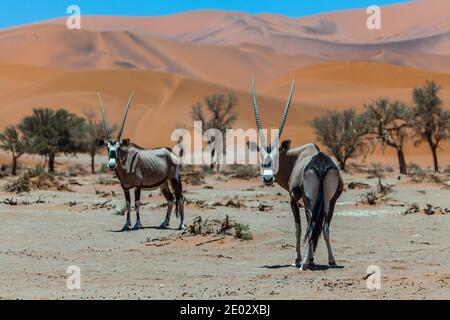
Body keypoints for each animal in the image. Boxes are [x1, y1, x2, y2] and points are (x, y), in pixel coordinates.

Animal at [96, 92, 185, 230]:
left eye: (118, 148)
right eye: (107, 148)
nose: (111, 164)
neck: (126, 162)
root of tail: (171, 152)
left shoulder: (137, 186)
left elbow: (137, 203)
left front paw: (137, 224)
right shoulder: (125, 187)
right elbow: (128, 204)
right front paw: (126, 224)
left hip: (174, 179)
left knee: (180, 198)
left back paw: (181, 225)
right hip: (163, 183)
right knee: (171, 199)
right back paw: (164, 223)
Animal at [248, 78, 342, 270]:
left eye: (276, 156)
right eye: (261, 156)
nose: (267, 178)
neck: (297, 157)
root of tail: (320, 163)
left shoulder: (293, 198)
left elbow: (298, 227)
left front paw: (298, 259)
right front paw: (312, 258)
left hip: (309, 200)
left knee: (312, 226)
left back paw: (304, 263)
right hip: (330, 201)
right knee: (324, 226)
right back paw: (332, 260)